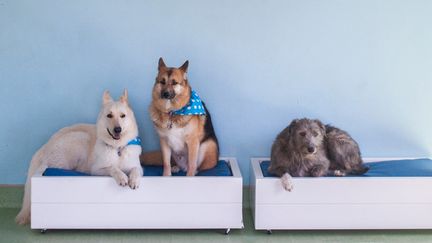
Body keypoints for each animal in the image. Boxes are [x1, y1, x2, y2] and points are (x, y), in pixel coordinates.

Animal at [15, 90, 143, 225]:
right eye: (109, 115)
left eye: (123, 116)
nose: (117, 129)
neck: (117, 148)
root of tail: (44, 147)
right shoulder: (96, 170)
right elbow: (112, 168)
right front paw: (122, 177)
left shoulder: (139, 168)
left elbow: (135, 170)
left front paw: (134, 180)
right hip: (81, 138)